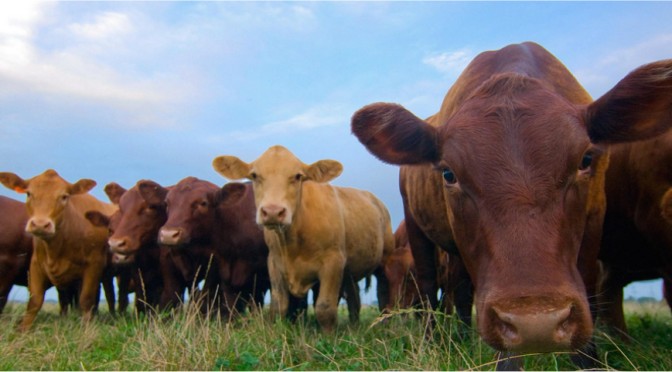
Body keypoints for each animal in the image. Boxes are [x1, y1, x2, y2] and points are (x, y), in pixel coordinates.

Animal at [0, 170, 117, 330]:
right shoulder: (36, 264)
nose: (40, 224)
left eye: (64, 196)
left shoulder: (94, 264)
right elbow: (35, 301)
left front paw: (86, 328)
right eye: (29, 193)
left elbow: (86, 299)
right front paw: (23, 329)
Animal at [214, 145, 394, 332]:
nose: (272, 211)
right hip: (350, 271)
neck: (293, 242)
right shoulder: (274, 263)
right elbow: (278, 306)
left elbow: (325, 308)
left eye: (297, 176)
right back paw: (354, 326)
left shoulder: (333, 261)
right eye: (255, 175)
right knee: (354, 298)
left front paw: (328, 336)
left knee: (383, 292)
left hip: (385, 257)